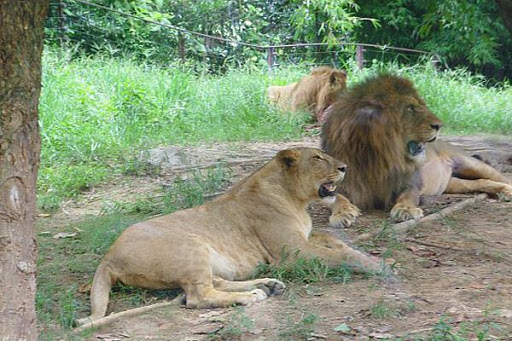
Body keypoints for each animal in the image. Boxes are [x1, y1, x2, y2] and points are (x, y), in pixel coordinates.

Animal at [77, 148, 384, 324]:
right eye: (318, 158)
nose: (344, 167)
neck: (296, 200)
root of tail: (108, 256)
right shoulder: (291, 253)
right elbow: (338, 255)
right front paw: (376, 267)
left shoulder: (304, 239)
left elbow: (335, 243)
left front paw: (370, 257)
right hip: (191, 244)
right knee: (198, 297)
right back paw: (251, 296)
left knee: (215, 282)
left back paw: (267, 285)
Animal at [320, 73, 512, 223]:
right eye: (410, 108)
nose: (439, 125)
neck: (377, 158)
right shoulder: (343, 184)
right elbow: (338, 198)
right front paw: (343, 213)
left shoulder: (411, 182)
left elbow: (408, 196)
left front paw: (405, 210)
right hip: (452, 184)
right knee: (479, 183)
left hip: (471, 164)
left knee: (497, 177)